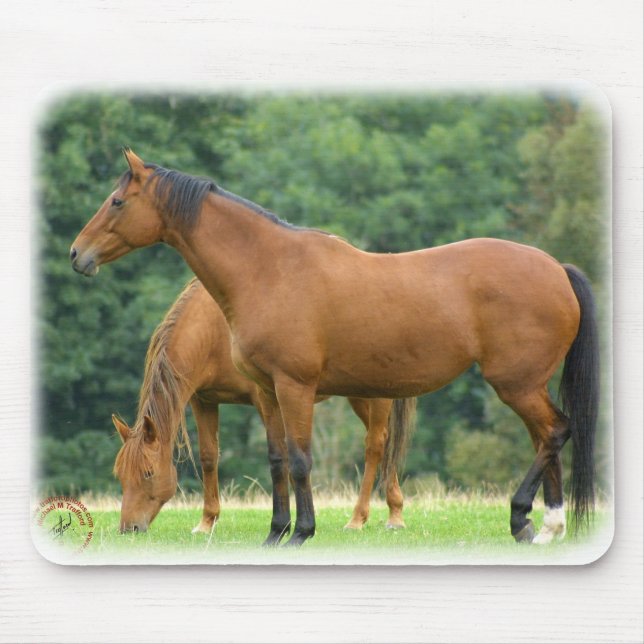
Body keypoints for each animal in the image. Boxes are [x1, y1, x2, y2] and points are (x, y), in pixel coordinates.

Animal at [111, 276, 414, 538]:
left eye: (148, 473)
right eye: (120, 475)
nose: (129, 528)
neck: (212, 331)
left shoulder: (265, 397)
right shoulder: (204, 400)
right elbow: (209, 456)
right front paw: (207, 521)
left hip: (377, 396)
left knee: (374, 445)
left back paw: (359, 518)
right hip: (358, 394)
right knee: (385, 443)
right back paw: (395, 512)